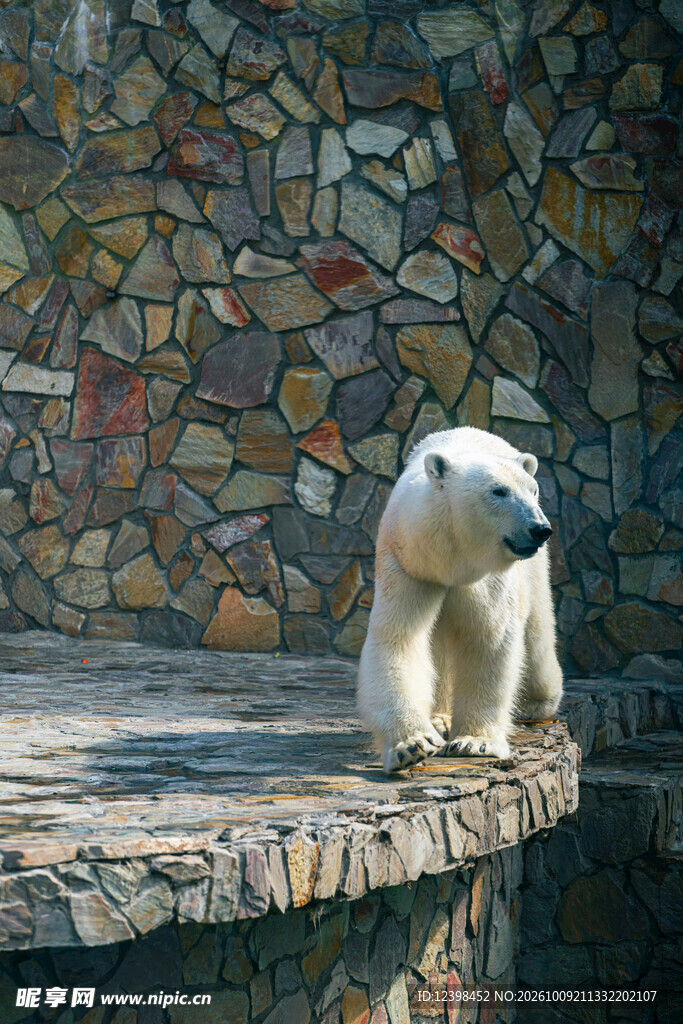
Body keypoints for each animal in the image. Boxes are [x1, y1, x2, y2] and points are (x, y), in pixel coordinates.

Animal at [357, 426, 563, 774]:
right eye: (498, 491)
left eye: (533, 490)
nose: (539, 529)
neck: (450, 558)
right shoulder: (409, 565)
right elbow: (399, 639)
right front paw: (413, 744)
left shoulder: (487, 577)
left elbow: (488, 639)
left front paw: (474, 742)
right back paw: (439, 718)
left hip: (532, 572)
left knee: (536, 633)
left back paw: (538, 702)